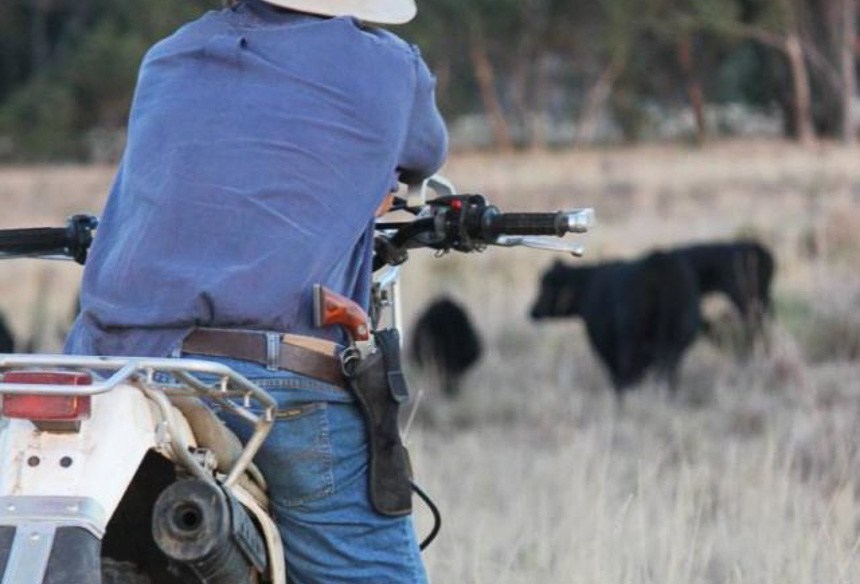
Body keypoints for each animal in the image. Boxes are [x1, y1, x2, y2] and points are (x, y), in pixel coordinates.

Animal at [532, 252, 700, 396]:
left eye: (546, 287)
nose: (532, 312)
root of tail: (659, 261)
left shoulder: (607, 347)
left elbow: (621, 381)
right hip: (674, 344)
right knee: (668, 377)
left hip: (633, 345)